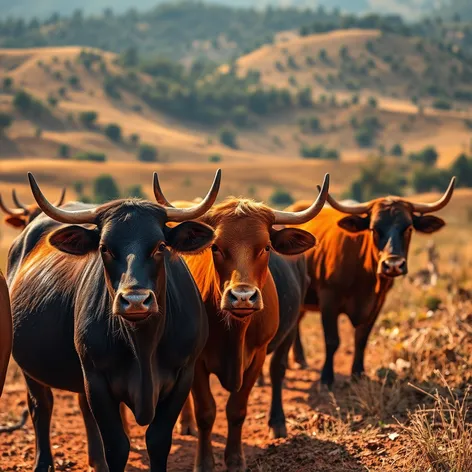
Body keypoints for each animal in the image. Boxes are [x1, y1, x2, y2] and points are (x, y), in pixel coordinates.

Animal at [155, 175, 328, 470]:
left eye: (266, 247)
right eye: (215, 247)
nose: (242, 297)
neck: (234, 333)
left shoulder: (256, 357)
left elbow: (237, 410)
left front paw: (235, 459)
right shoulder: (197, 362)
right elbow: (206, 411)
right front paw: (204, 462)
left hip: (289, 331)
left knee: (278, 370)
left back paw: (277, 423)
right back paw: (185, 423)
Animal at [290, 179, 456, 386]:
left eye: (409, 228)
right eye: (374, 228)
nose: (393, 264)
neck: (365, 277)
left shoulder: (377, 303)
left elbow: (361, 339)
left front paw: (358, 373)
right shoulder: (329, 299)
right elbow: (332, 340)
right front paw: (326, 377)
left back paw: (300, 358)